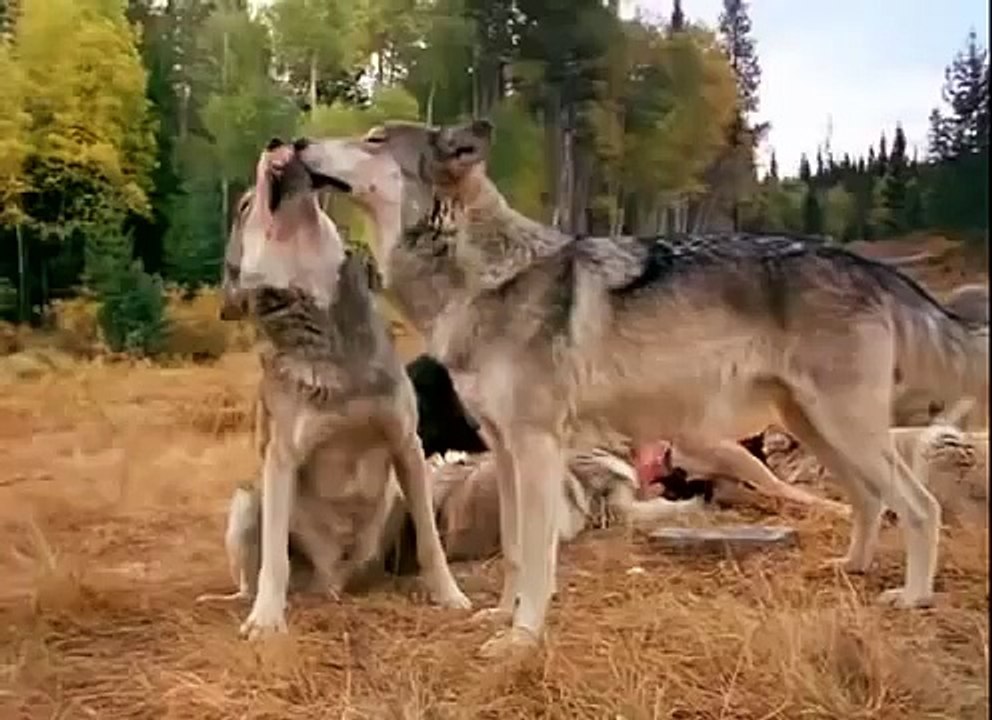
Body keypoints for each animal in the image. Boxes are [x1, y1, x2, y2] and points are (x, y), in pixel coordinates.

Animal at [210, 140, 468, 639]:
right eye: (245, 206)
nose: (275, 141)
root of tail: (333, 583)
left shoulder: (408, 446)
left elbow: (431, 543)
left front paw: (450, 597)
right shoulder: (281, 460)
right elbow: (274, 561)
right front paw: (267, 622)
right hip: (247, 500)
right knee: (251, 579)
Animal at [294, 121, 989, 657]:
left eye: (374, 138)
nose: (296, 141)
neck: (480, 275)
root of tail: (863, 262)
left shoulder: (537, 447)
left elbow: (538, 558)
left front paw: (522, 639)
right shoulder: (506, 450)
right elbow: (516, 550)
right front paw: (502, 617)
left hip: (845, 429)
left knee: (920, 506)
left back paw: (914, 596)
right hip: (817, 428)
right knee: (871, 502)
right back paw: (852, 567)